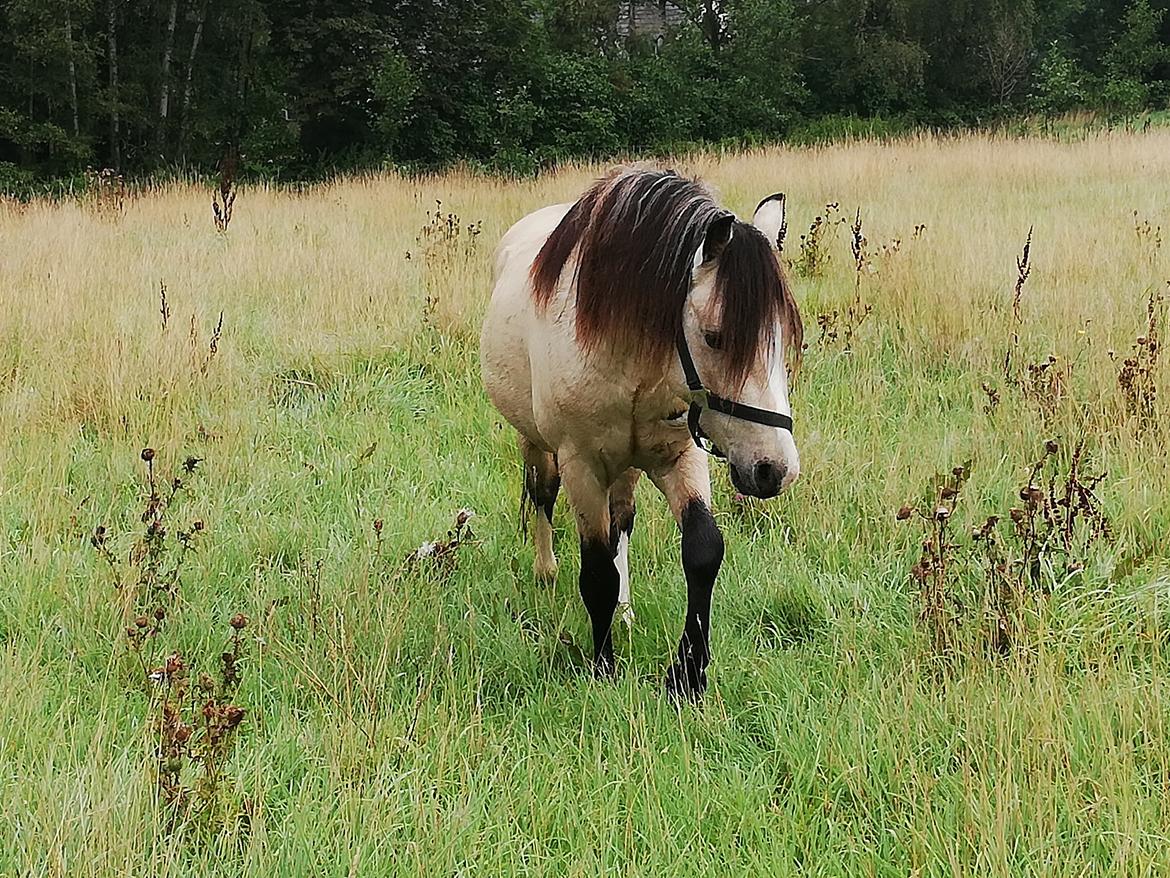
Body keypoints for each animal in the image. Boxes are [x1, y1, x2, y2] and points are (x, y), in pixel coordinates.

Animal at [479, 167, 803, 699]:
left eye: (786, 338)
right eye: (715, 337)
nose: (774, 469)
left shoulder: (680, 456)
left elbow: (702, 550)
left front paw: (688, 674)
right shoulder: (582, 465)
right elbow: (595, 571)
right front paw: (603, 666)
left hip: (628, 465)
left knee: (622, 522)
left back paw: (626, 611)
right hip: (537, 443)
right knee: (542, 494)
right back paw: (546, 571)